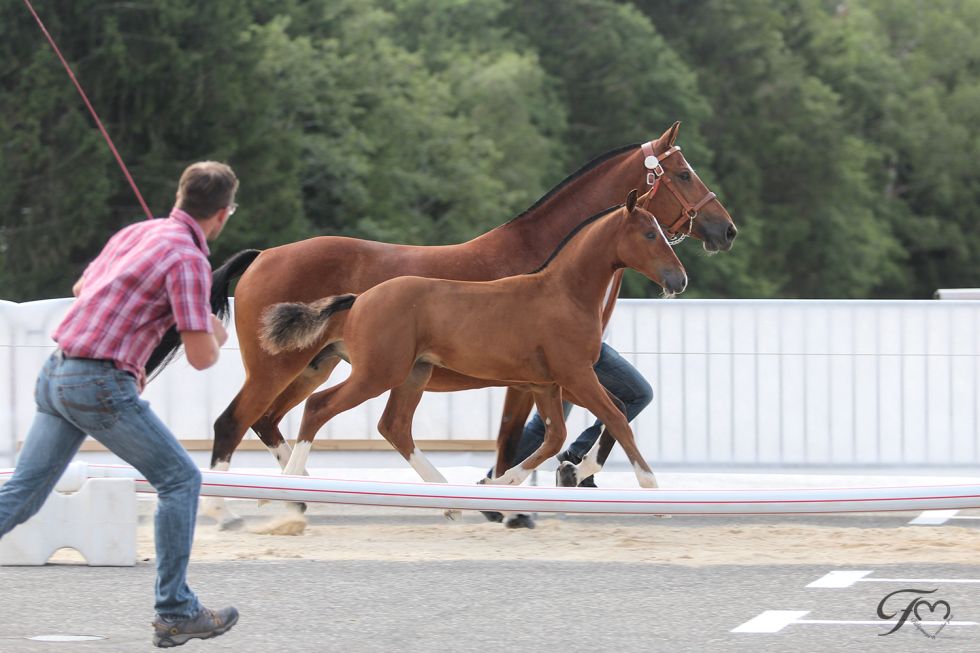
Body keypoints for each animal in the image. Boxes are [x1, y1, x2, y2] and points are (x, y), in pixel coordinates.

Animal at [260, 190, 684, 528]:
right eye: (649, 234)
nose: (679, 280)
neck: (563, 294)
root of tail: (360, 299)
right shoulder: (575, 375)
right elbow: (615, 418)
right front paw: (652, 491)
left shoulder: (549, 384)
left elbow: (563, 434)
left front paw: (505, 483)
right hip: (378, 374)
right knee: (319, 407)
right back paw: (291, 496)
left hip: (413, 375)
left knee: (394, 426)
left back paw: (449, 502)